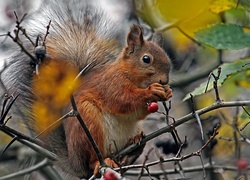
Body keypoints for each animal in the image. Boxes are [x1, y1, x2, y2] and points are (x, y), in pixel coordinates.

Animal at [1, 0, 173, 178]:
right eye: (146, 59)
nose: (164, 80)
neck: (128, 74)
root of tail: (75, 163)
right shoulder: (111, 84)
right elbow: (123, 100)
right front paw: (152, 91)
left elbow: (137, 112)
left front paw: (167, 92)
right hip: (88, 124)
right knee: (91, 159)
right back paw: (101, 162)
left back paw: (133, 148)